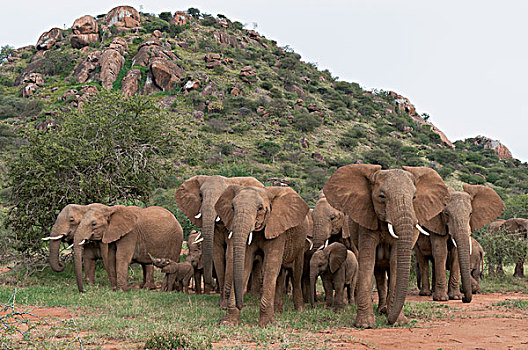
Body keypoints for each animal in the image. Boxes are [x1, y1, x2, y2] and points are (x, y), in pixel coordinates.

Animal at [174, 175, 262, 304]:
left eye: (221, 197)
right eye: (200, 195)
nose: (208, 281)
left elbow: (229, 254)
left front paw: (226, 304)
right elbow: (217, 254)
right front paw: (222, 304)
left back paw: (253, 296)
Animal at [214, 185, 310, 326]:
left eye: (260, 208)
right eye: (232, 207)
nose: (241, 304)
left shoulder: (277, 227)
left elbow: (271, 266)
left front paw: (266, 324)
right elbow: (245, 264)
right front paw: (228, 322)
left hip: (301, 243)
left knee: (296, 274)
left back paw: (300, 310)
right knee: (279, 275)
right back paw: (277, 312)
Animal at [324, 165, 448, 326]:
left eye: (414, 197)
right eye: (382, 196)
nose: (389, 321)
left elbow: (395, 262)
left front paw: (399, 321)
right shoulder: (366, 219)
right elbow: (367, 260)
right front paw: (365, 324)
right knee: (379, 273)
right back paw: (381, 310)